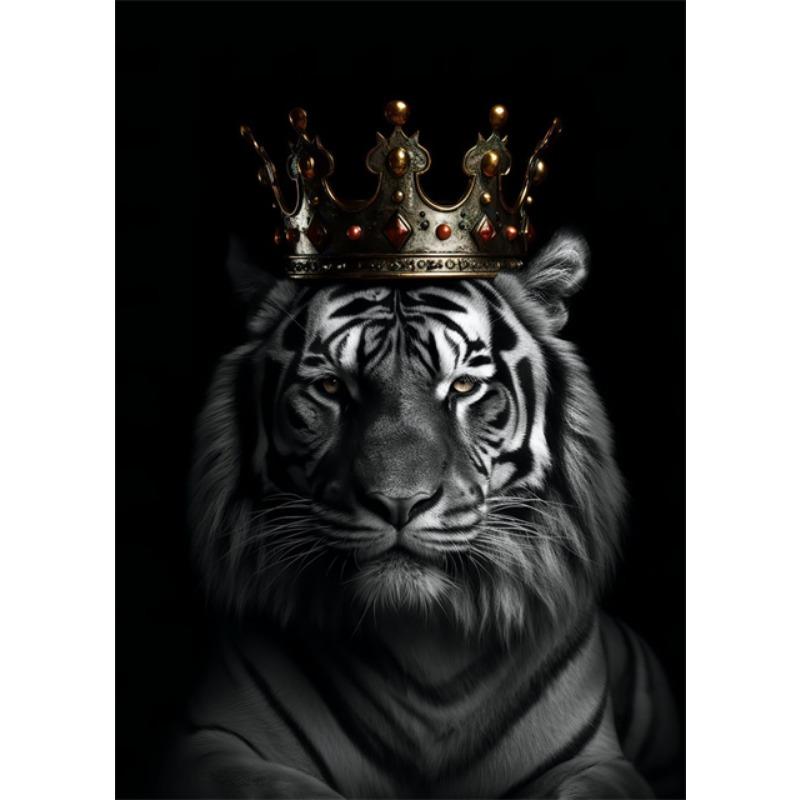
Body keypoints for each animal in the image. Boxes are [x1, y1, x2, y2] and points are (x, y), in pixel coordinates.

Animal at [163, 231, 683, 799]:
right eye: (330, 387)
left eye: (462, 387)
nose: (398, 502)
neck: (424, 641)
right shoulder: (211, 742)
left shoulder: (595, 762)